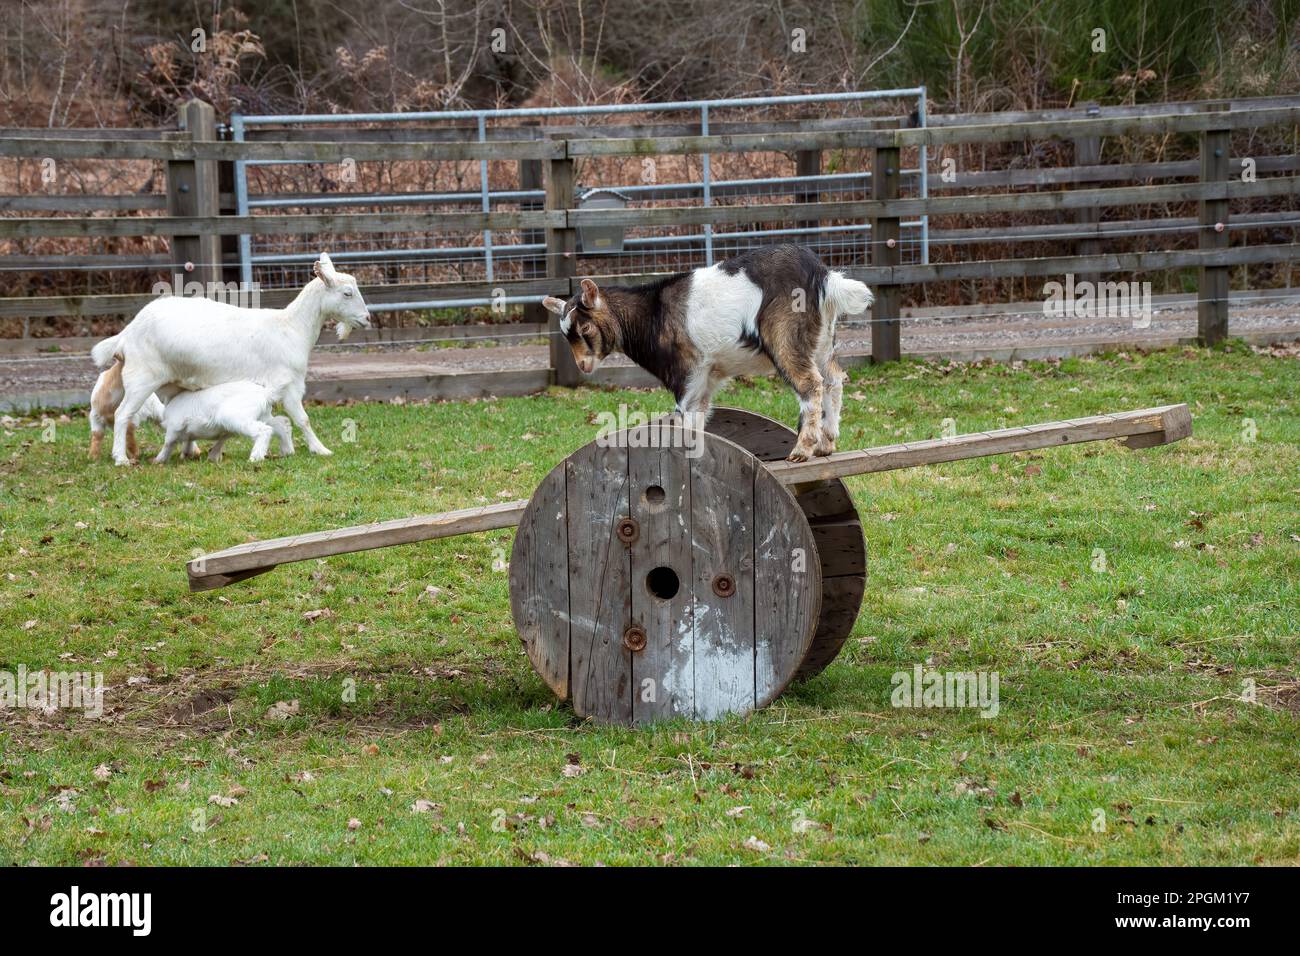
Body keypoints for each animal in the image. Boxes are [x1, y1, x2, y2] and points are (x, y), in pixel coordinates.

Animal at [92, 252, 369, 465]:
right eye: (347, 293)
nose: (366, 319)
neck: (291, 327)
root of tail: (127, 333)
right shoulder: (289, 383)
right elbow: (303, 419)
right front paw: (320, 449)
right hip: (141, 378)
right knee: (123, 414)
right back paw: (121, 458)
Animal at [540, 243, 873, 460]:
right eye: (565, 334)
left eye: (584, 328)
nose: (583, 365)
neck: (652, 314)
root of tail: (822, 275)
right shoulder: (704, 381)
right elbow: (698, 419)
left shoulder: (685, 376)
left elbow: (685, 419)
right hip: (822, 338)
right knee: (833, 379)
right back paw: (827, 442)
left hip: (786, 336)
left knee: (810, 383)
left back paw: (802, 449)